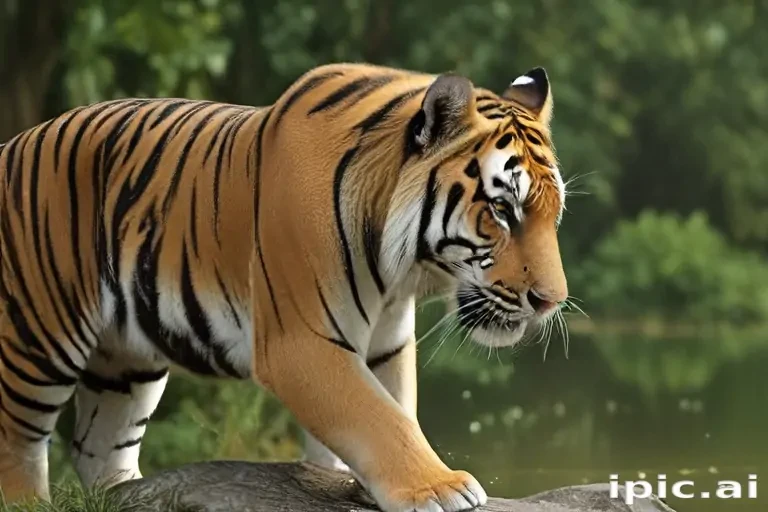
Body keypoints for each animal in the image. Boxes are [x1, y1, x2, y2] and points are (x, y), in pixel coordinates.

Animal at [0, 62, 568, 511]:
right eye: (503, 209)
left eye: (553, 212)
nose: (551, 302)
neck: (399, 270)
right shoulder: (303, 343)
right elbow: (378, 418)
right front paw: (439, 487)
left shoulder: (386, 342)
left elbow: (393, 408)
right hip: (36, 337)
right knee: (18, 440)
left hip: (125, 361)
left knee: (98, 449)